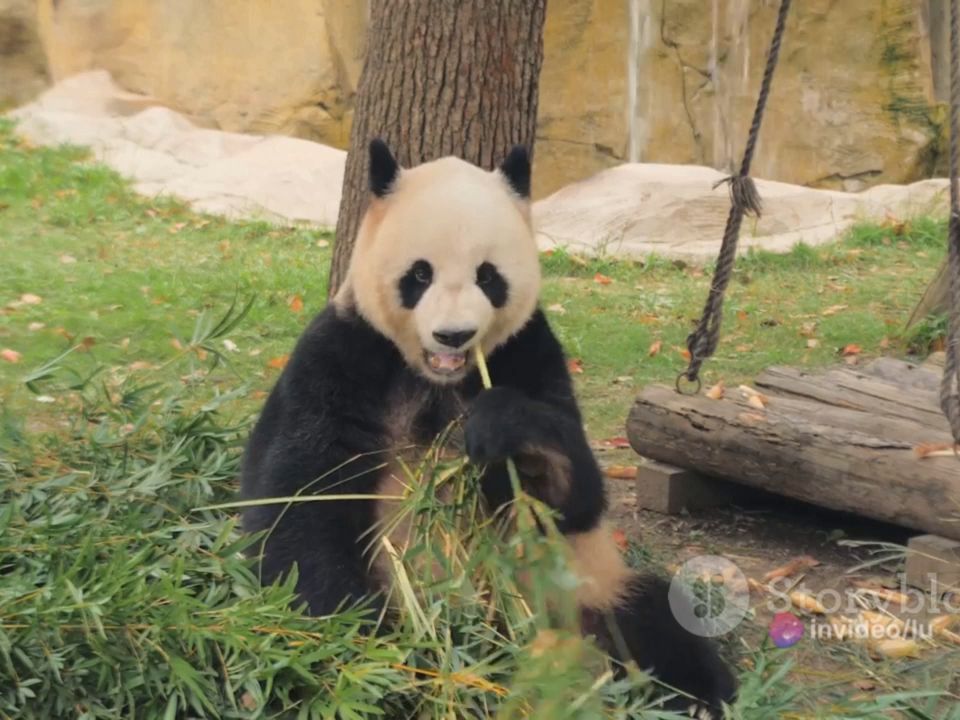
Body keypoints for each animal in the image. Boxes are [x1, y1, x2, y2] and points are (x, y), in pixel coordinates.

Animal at [240, 139, 736, 714]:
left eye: (488, 276)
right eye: (420, 275)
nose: (454, 335)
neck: (436, 377)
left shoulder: (528, 352)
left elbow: (573, 495)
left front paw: (503, 432)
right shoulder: (343, 355)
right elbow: (298, 502)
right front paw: (361, 647)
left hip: (584, 589)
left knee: (654, 617)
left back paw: (698, 697)